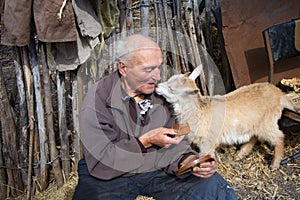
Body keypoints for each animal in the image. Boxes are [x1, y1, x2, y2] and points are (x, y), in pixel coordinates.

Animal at [156, 72, 296, 168]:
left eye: (172, 89)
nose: (156, 86)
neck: (199, 111)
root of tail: (280, 94)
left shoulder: (207, 142)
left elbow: (206, 156)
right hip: (253, 123)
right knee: (254, 137)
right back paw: (240, 154)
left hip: (267, 123)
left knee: (279, 137)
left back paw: (275, 164)